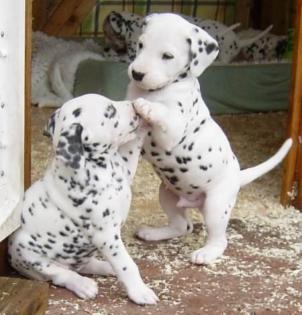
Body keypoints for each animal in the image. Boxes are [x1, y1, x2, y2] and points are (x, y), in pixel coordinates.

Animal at [7, 94, 158, 306]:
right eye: (110, 111)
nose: (133, 105)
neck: (99, 166)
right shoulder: (107, 235)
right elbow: (126, 264)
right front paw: (140, 292)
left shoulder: (126, 169)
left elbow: (135, 142)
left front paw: (147, 113)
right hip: (30, 257)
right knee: (61, 274)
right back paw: (83, 285)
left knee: (85, 265)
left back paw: (105, 267)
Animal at [126, 13, 292, 266]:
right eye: (141, 45)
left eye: (167, 56)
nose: (137, 73)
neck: (157, 90)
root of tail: (238, 175)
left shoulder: (172, 132)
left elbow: (162, 114)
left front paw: (148, 107)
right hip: (167, 195)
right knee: (182, 226)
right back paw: (154, 233)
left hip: (216, 206)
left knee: (219, 239)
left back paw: (206, 253)